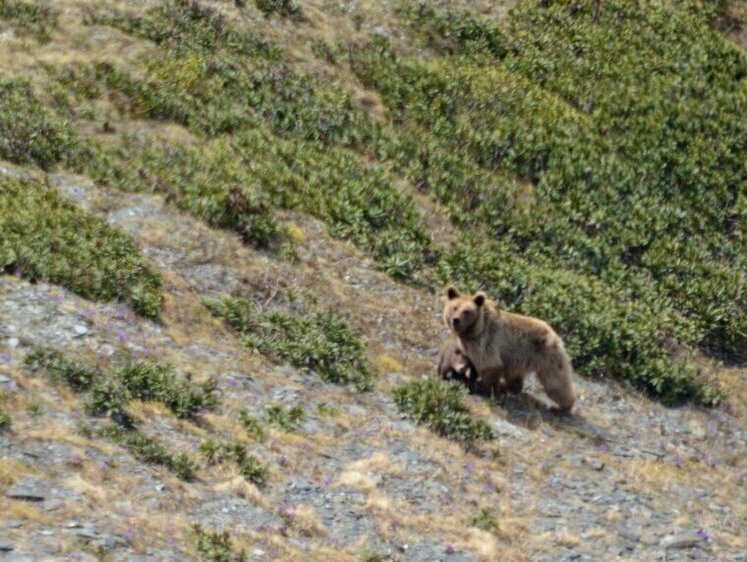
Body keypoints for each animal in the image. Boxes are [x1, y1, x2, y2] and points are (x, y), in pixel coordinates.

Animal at [444, 288, 580, 412]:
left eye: (466, 311)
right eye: (455, 307)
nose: (456, 320)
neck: (474, 331)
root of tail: (556, 336)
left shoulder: (486, 341)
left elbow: (489, 365)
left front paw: (484, 387)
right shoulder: (469, 345)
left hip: (546, 356)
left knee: (555, 382)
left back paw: (562, 407)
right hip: (518, 358)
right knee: (515, 376)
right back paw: (508, 386)